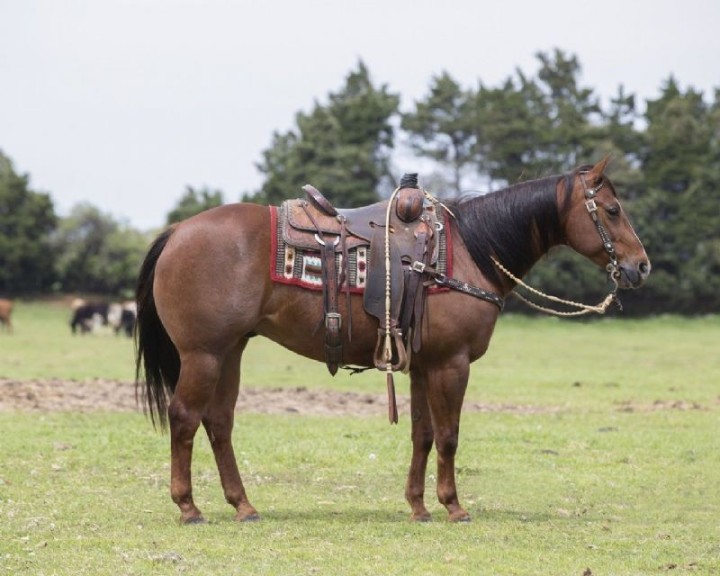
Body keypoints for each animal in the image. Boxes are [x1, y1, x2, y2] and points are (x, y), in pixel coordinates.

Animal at [135, 158, 650, 524]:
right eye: (612, 210)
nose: (640, 265)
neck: (469, 250)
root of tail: (177, 231)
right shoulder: (452, 363)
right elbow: (448, 436)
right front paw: (453, 506)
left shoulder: (424, 364)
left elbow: (423, 434)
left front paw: (419, 507)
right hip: (203, 355)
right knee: (185, 418)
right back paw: (189, 508)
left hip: (231, 350)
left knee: (219, 422)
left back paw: (243, 505)